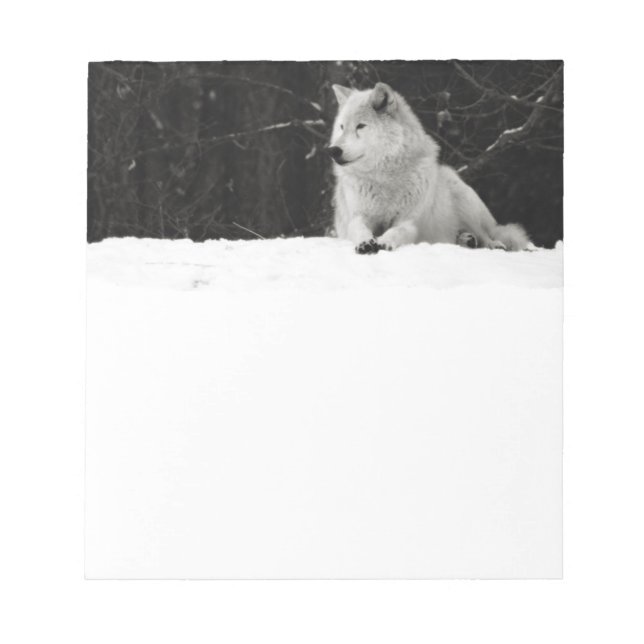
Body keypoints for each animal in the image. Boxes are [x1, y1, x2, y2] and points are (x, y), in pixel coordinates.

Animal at [328, 83, 533, 254]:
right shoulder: (358, 216)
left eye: (360, 126)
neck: (385, 179)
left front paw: (385, 241)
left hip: (465, 202)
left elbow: (397, 231)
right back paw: (466, 240)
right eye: (342, 127)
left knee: (485, 234)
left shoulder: (408, 221)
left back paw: (491, 244)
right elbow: (358, 229)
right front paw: (365, 242)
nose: (333, 150)